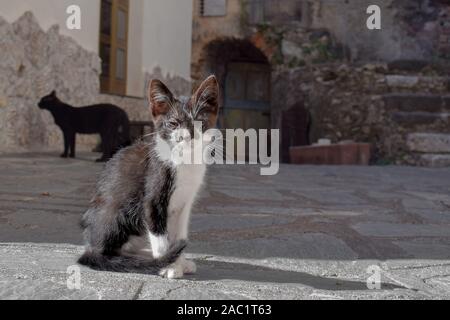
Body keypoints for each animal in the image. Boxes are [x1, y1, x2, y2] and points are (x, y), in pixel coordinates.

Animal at [78, 75, 221, 278]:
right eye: (173, 124)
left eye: (199, 122)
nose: (186, 136)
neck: (185, 163)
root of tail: (89, 246)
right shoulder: (153, 199)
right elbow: (160, 237)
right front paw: (167, 265)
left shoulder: (185, 203)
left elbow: (179, 234)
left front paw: (180, 261)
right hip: (117, 212)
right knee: (106, 252)